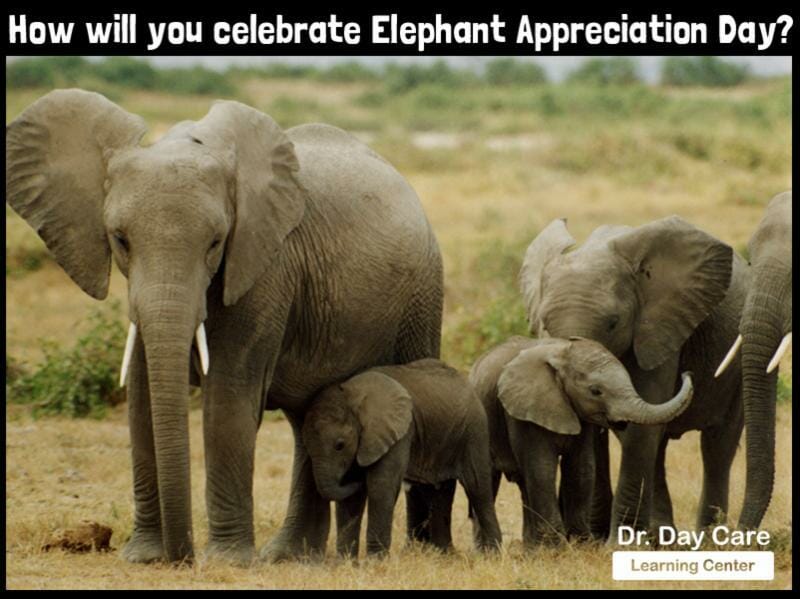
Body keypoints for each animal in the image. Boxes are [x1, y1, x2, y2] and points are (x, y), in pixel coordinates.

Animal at [5, 89, 444, 564]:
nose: (182, 556)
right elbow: (142, 398)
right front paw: (144, 557)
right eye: (120, 240)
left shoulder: (265, 269)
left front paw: (225, 560)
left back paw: (421, 551)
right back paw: (289, 557)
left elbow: (228, 400)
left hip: (422, 297)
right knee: (309, 421)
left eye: (216, 243)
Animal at [301, 359, 503, 557]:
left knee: (478, 488)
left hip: (474, 430)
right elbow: (351, 498)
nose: (358, 481)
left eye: (339, 445)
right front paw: (346, 560)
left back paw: (493, 554)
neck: (352, 396)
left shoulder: (400, 433)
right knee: (439, 492)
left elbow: (382, 486)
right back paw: (445, 555)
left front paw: (375, 560)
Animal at [469, 336, 694, 545]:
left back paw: (531, 550)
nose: (686, 373)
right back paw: (488, 552)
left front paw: (581, 545)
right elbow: (542, 468)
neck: (560, 353)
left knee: (524, 485)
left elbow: (581, 468)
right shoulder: (523, 411)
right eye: (595, 391)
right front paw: (555, 549)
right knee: (488, 481)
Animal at [519, 216, 749, 542]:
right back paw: (661, 540)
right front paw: (595, 539)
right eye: (544, 324)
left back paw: (707, 538)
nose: (687, 375)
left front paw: (617, 544)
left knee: (717, 446)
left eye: (613, 323)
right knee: (660, 447)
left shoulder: (658, 328)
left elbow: (641, 427)